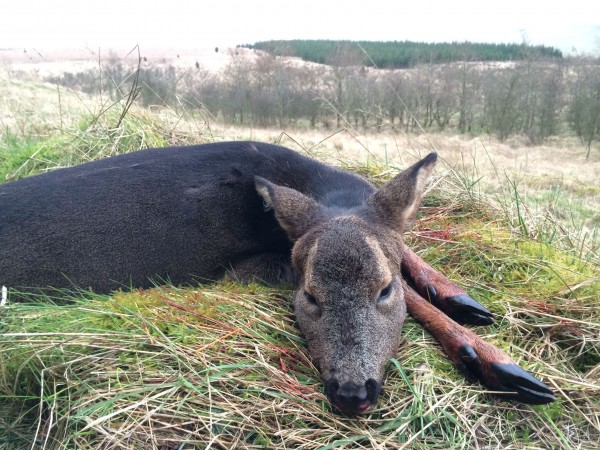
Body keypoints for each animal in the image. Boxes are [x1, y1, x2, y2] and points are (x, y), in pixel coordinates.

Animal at [0, 142, 556, 414]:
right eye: (308, 296)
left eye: (383, 290)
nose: (352, 393)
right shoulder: (239, 270)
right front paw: (493, 360)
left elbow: (402, 249)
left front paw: (462, 302)